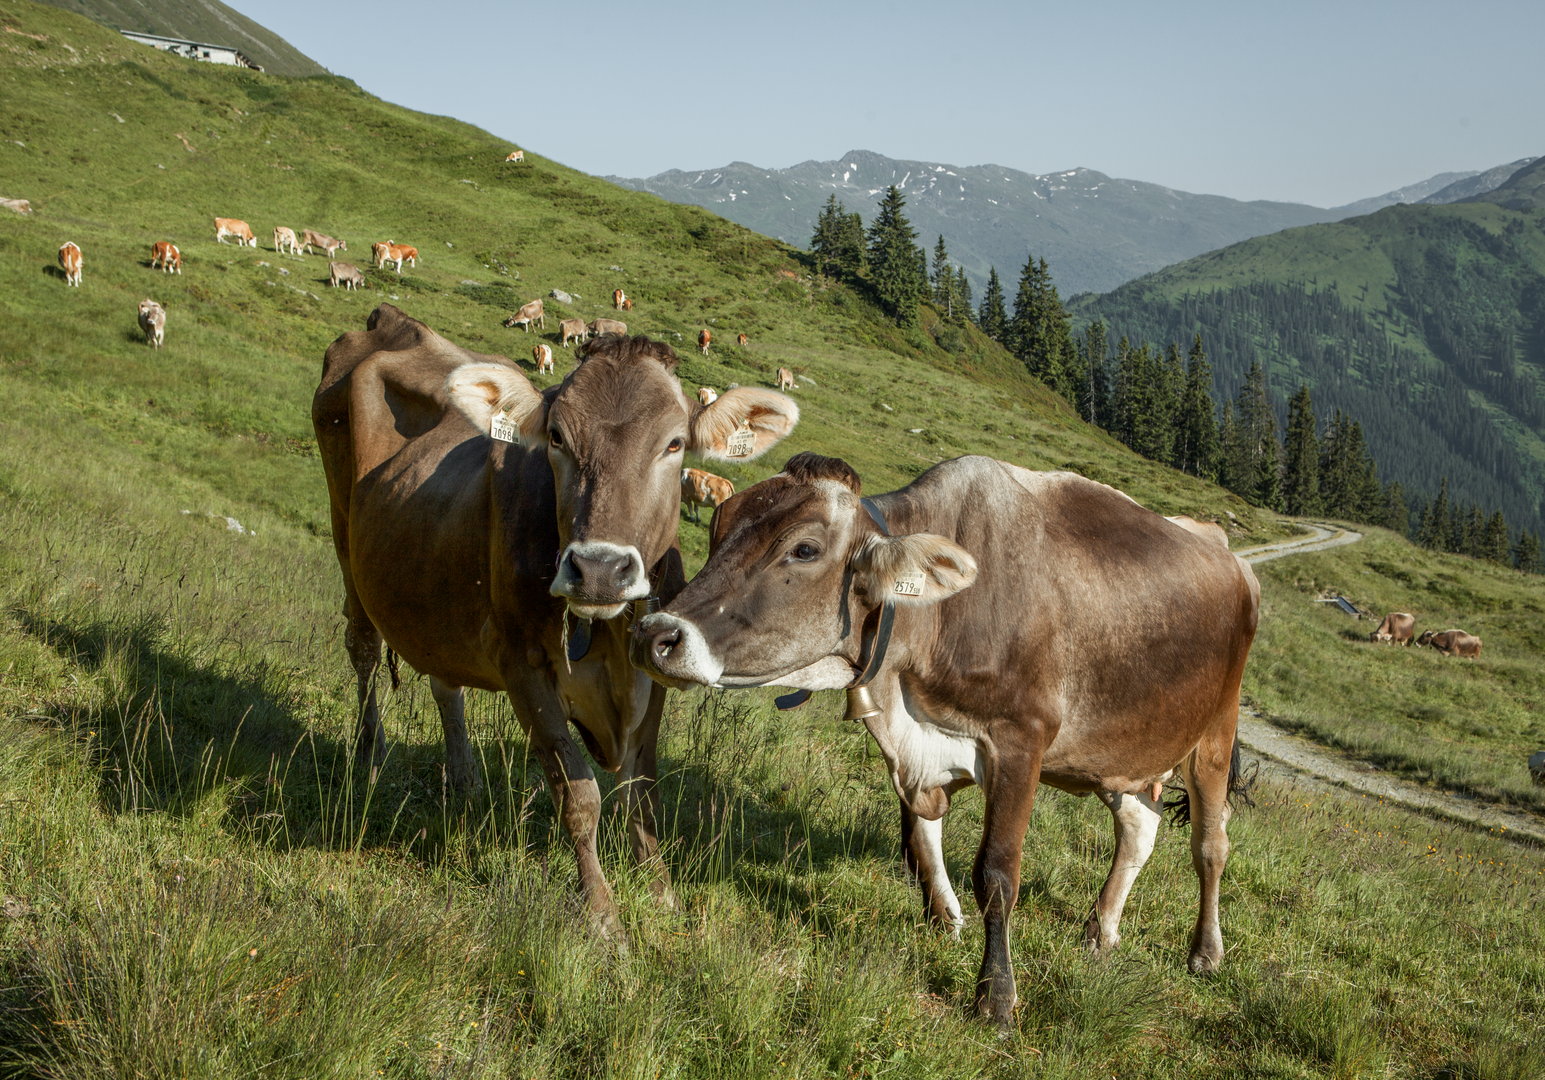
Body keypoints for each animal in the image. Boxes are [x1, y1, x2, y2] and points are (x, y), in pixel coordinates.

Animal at [312, 307, 799, 936]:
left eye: (674, 443)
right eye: (558, 438)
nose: (600, 569)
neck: (607, 635)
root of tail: (391, 320)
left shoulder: (652, 674)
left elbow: (642, 793)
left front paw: (660, 891)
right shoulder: (522, 664)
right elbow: (579, 794)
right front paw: (602, 914)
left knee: (445, 682)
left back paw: (463, 781)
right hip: (346, 541)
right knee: (363, 648)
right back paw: (370, 752)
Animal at [632, 453, 1260, 1024]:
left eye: (804, 550)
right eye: (718, 526)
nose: (656, 634)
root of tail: (1229, 554)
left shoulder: (1021, 741)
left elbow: (997, 873)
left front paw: (996, 999)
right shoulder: (916, 750)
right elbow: (918, 845)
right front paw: (944, 922)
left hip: (1215, 733)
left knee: (1210, 846)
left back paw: (1205, 952)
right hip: (1120, 751)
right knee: (1138, 830)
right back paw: (1100, 930)